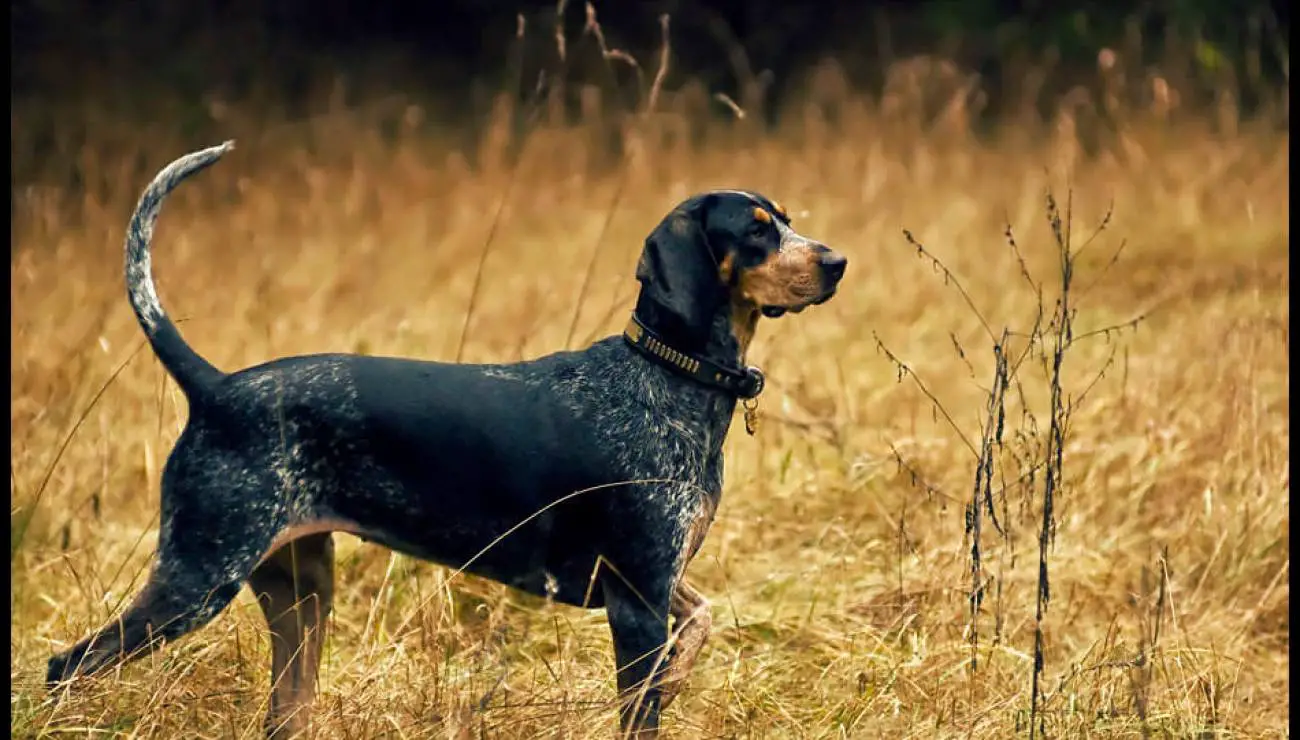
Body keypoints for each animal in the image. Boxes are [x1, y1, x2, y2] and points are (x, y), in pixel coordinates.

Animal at [45, 141, 847, 733]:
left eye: (786, 219)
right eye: (756, 230)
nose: (837, 261)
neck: (668, 374)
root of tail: (214, 387)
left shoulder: (659, 581)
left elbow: (703, 619)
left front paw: (683, 675)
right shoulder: (635, 600)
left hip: (300, 597)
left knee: (283, 711)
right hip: (198, 579)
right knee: (64, 667)